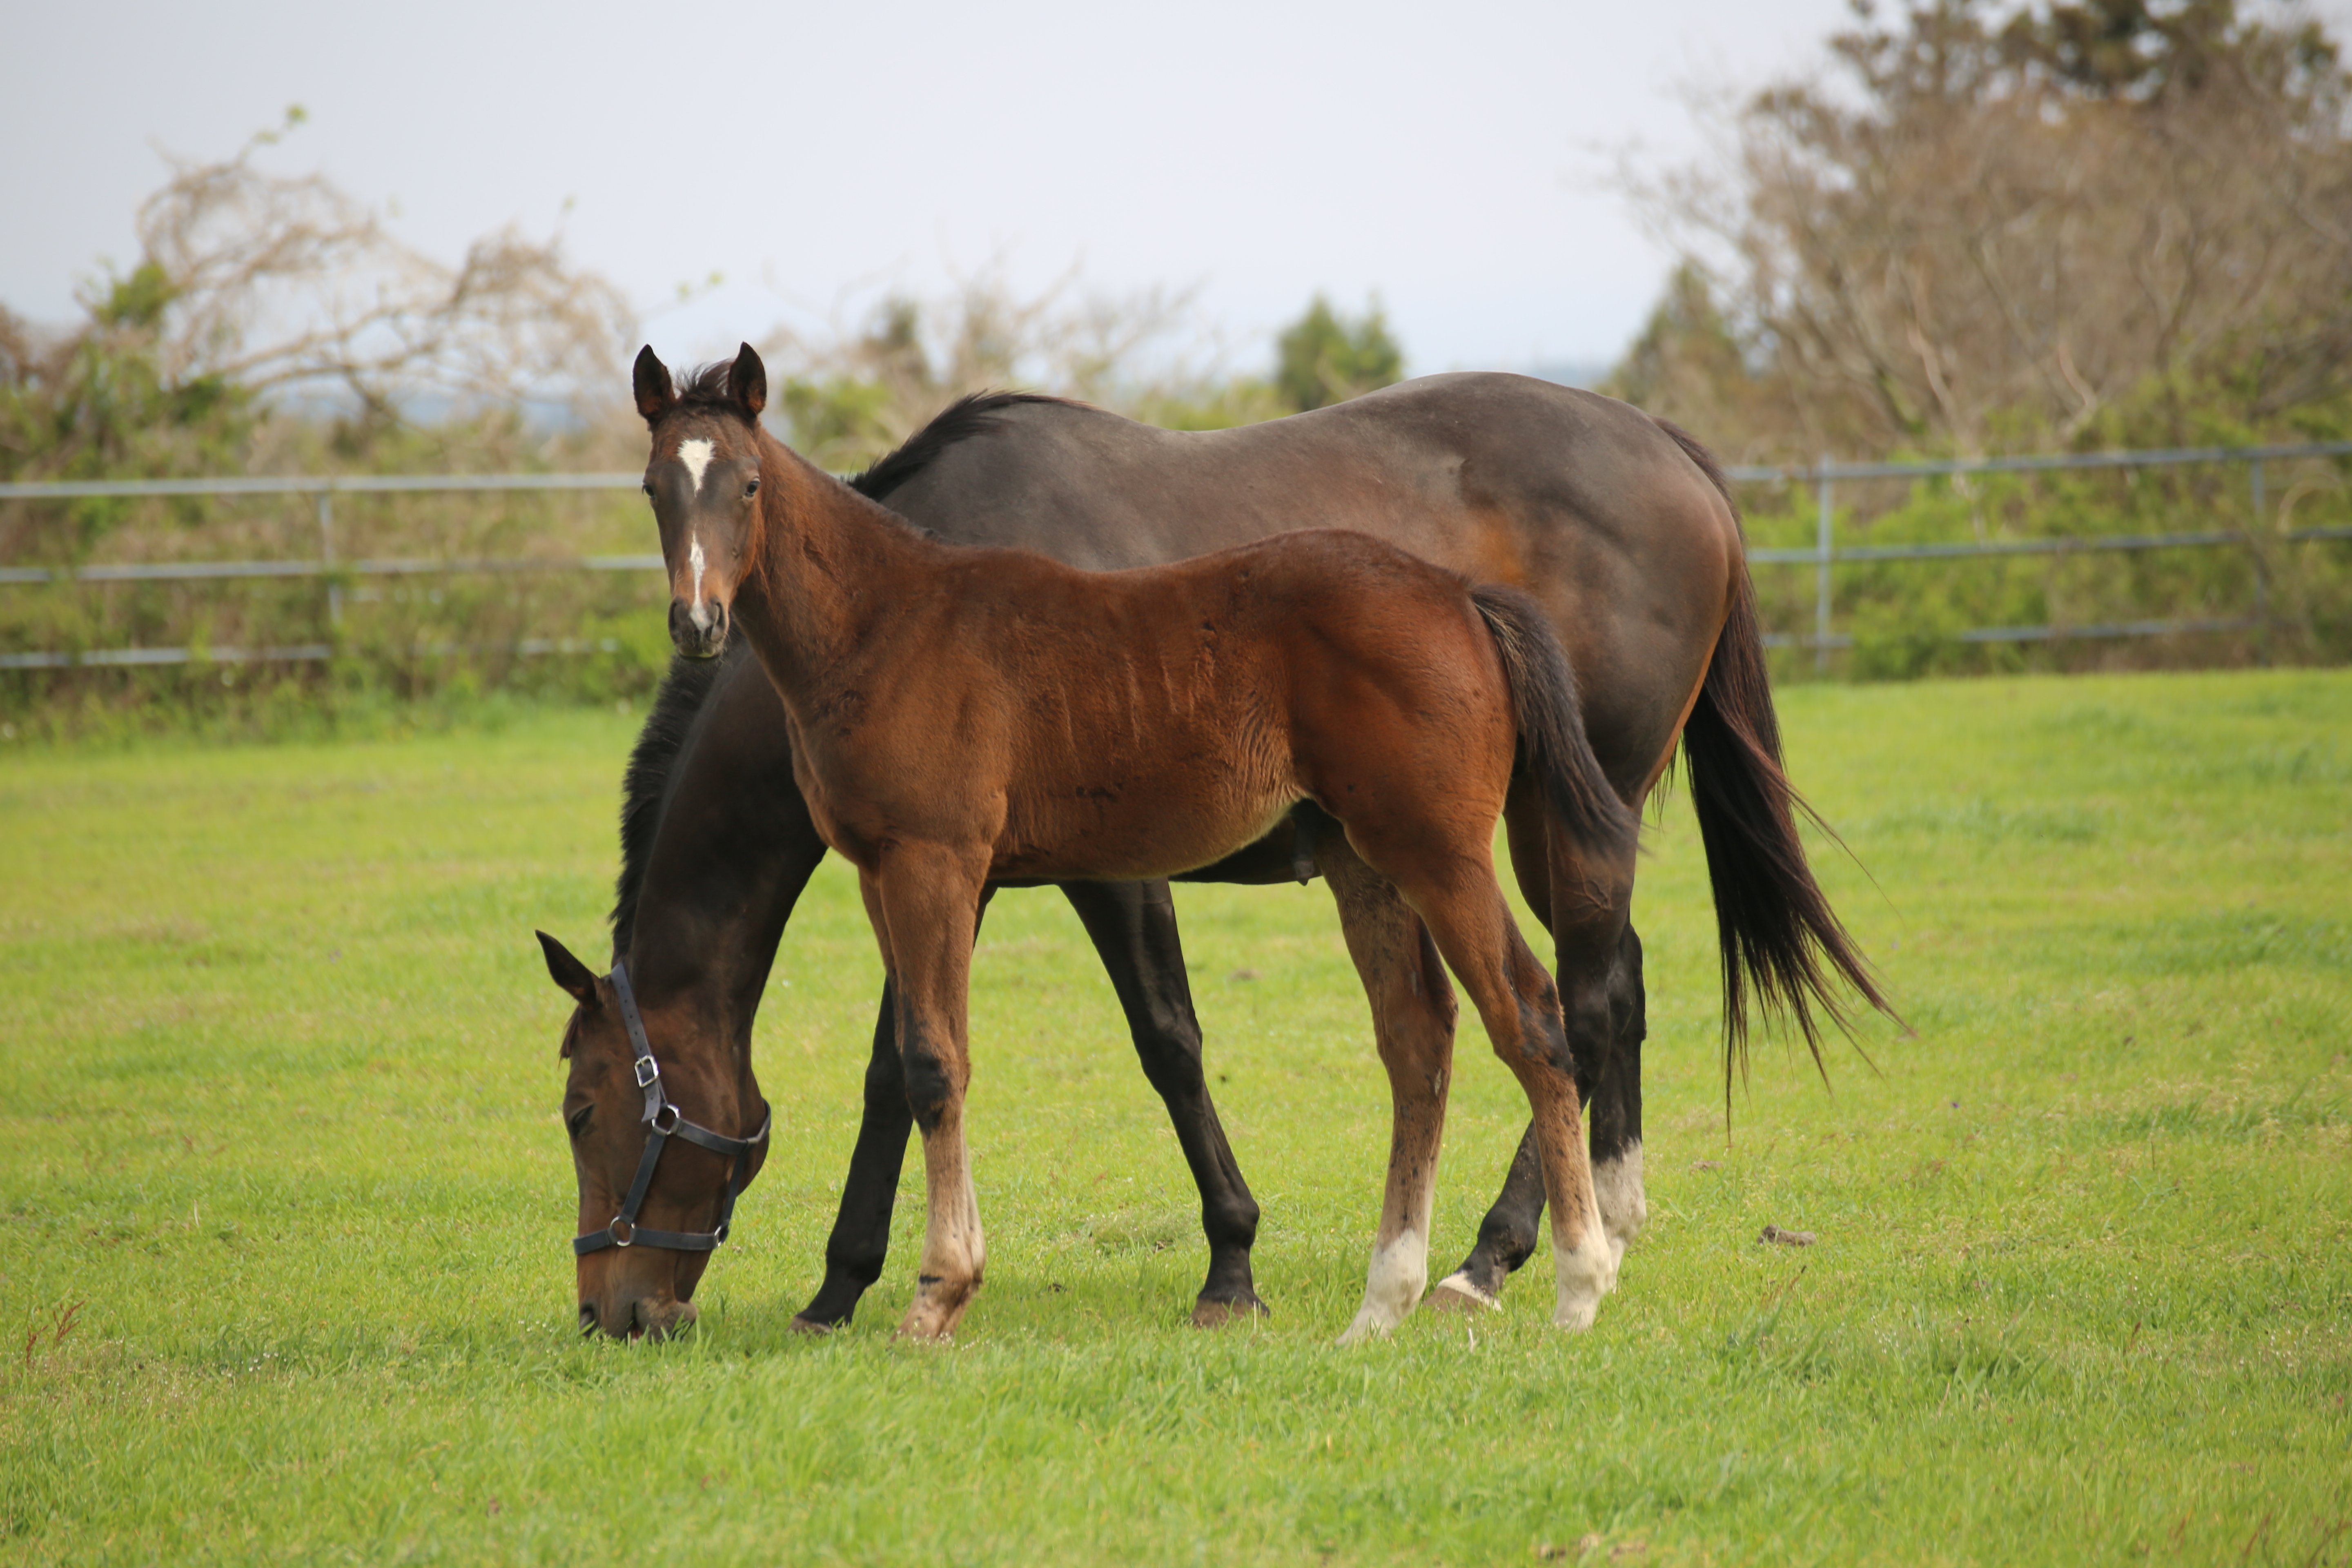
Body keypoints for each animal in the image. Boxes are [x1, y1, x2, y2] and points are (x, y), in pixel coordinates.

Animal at [541, 350, 1882, 1345]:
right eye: (650, 493)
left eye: (583, 1106)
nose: (614, 1311)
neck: (902, 595)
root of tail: (1673, 452)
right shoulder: (929, 868)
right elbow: (900, 1066)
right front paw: (841, 1285)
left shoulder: (1070, 867)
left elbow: (1158, 1042)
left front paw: (1226, 1263)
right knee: (1600, 988)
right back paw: (1598, 1212)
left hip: (1531, 821)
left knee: (1575, 1004)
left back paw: (1500, 1259)